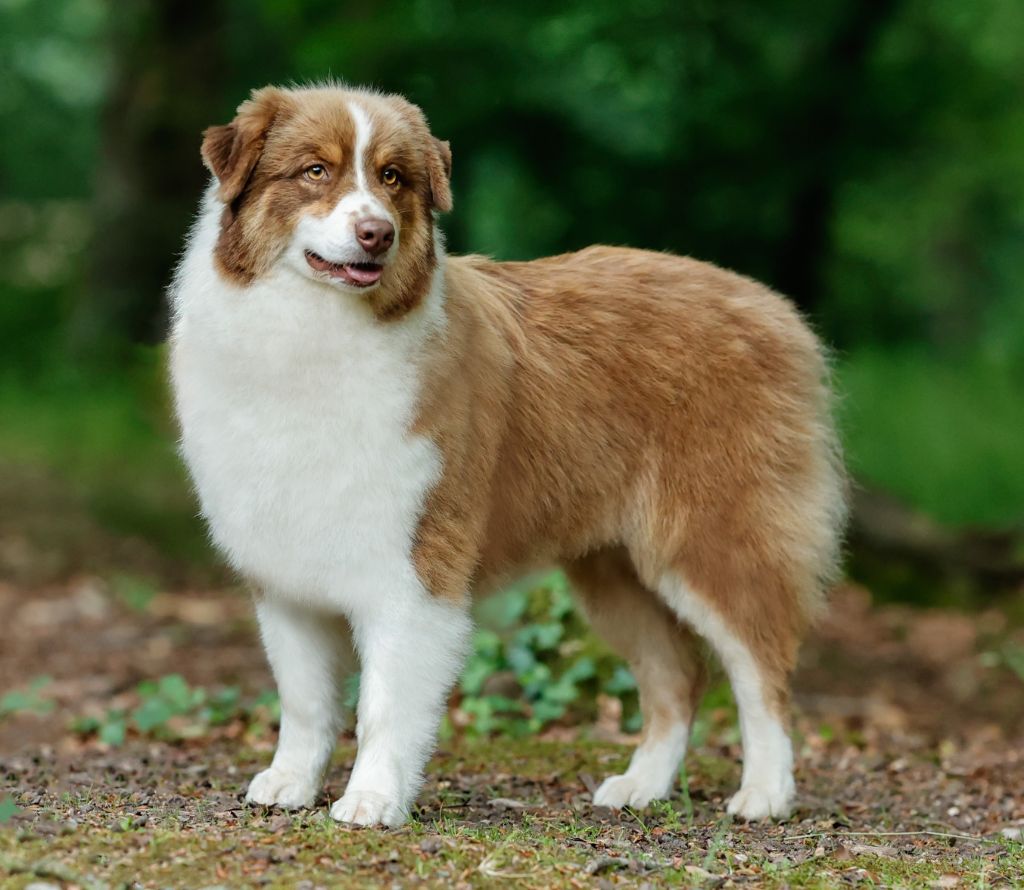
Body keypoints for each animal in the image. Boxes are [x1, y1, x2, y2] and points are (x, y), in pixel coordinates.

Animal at [169, 83, 847, 827]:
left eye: (392, 178)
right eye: (315, 171)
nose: (378, 233)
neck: (315, 337)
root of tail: (772, 308)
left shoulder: (415, 569)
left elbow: (384, 705)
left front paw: (372, 799)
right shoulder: (285, 572)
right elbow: (305, 699)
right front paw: (290, 782)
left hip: (713, 543)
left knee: (762, 669)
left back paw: (766, 794)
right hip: (615, 571)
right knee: (679, 675)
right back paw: (641, 787)